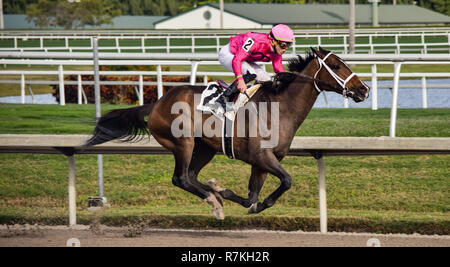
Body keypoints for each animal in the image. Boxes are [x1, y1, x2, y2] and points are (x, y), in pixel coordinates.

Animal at [85, 47, 370, 220]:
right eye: (336, 65)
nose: (364, 89)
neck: (279, 106)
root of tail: (156, 103)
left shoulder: (263, 162)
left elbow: (253, 197)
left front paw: (240, 198)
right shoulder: (261, 156)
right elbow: (287, 180)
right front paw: (228, 195)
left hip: (205, 148)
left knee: (191, 176)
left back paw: (214, 196)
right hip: (183, 143)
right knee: (180, 178)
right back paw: (214, 202)